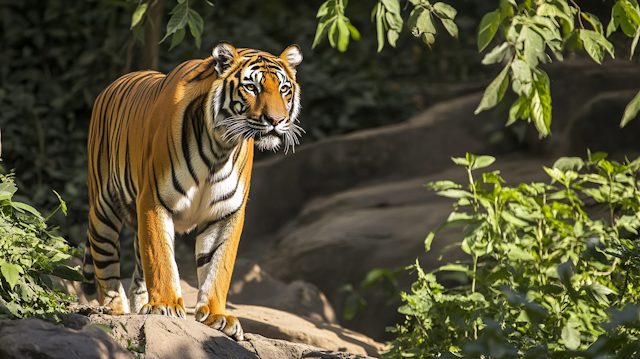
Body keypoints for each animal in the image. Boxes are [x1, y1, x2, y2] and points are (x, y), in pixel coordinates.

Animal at [81, 40, 304, 342]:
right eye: (251, 87)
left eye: (284, 89)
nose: (276, 120)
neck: (220, 147)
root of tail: (113, 84)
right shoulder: (154, 200)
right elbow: (161, 258)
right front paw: (165, 306)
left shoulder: (226, 212)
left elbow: (218, 266)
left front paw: (217, 316)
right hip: (103, 209)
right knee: (106, 263)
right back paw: (114, 309)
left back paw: (140, 306)